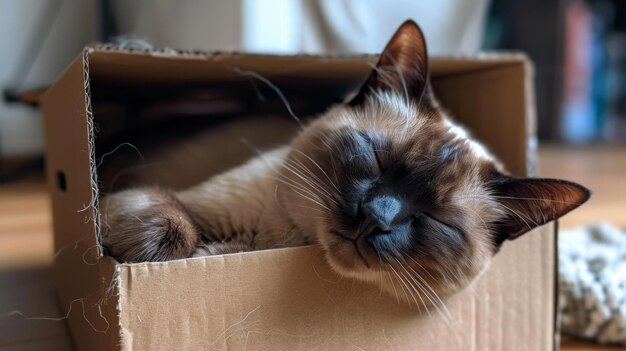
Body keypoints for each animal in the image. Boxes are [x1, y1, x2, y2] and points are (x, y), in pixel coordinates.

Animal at [100, 20, 588, 306]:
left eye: (437, 220)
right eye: (376, 161)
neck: (278, 241)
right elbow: (174, 232)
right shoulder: (170, 203)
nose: (374, 218)